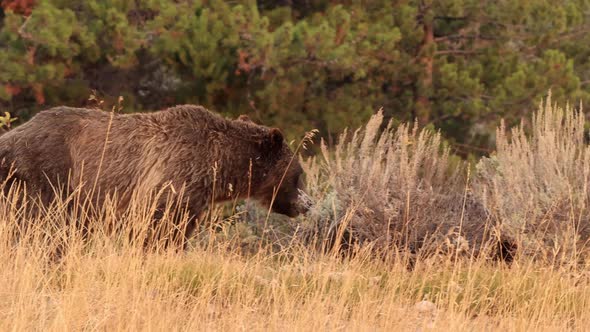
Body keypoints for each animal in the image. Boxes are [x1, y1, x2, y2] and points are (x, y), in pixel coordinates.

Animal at [0, 105, 308, 245]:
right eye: (299, 174)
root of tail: (9, 137)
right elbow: (160, 227)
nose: (308, 203)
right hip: (44, 175)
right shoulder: (172, 179)